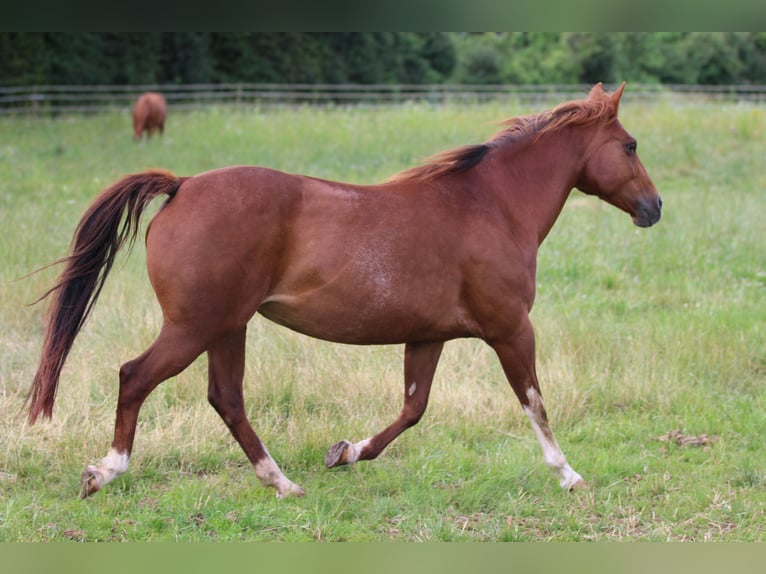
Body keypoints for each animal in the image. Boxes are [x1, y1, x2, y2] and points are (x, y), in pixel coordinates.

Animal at [30, 83, 660, 502]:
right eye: (630, 145)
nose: (654, 208)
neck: (492, 205)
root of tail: (181, 187)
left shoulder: (427, 337)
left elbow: (412, 410)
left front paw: (346, 453)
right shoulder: (510, 329)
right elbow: (535, 402)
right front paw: (570, 474)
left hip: (227, 327)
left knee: (226, 399)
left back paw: (283, 482)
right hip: (195, 326)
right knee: (135, 377)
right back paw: (105, 472)